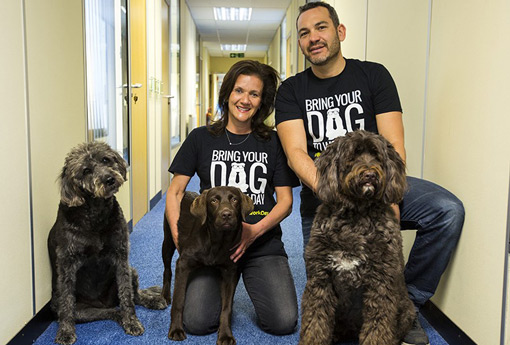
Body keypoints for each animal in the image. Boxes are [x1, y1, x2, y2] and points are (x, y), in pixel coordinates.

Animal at [48, 140, 167, 344]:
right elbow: (66, 302)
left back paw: (152, 300)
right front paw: (65, 331)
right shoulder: (67, 264)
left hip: (131, 270)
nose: (109, 179)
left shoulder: (121, 257)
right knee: (111, 312)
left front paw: (132, 321)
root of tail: (103, 303)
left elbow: (127, 295)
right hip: (81, 310)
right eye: (86, 170)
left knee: (135, 296)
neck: (96, 212)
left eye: (105, 159)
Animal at [300, 130, 416, 344]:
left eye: (377, 156)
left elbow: (378, 328)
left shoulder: (381, 284)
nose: (369, 174)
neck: (356, 215)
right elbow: (316, 322)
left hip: (407, 309)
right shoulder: (321, 280)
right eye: (353, 155)